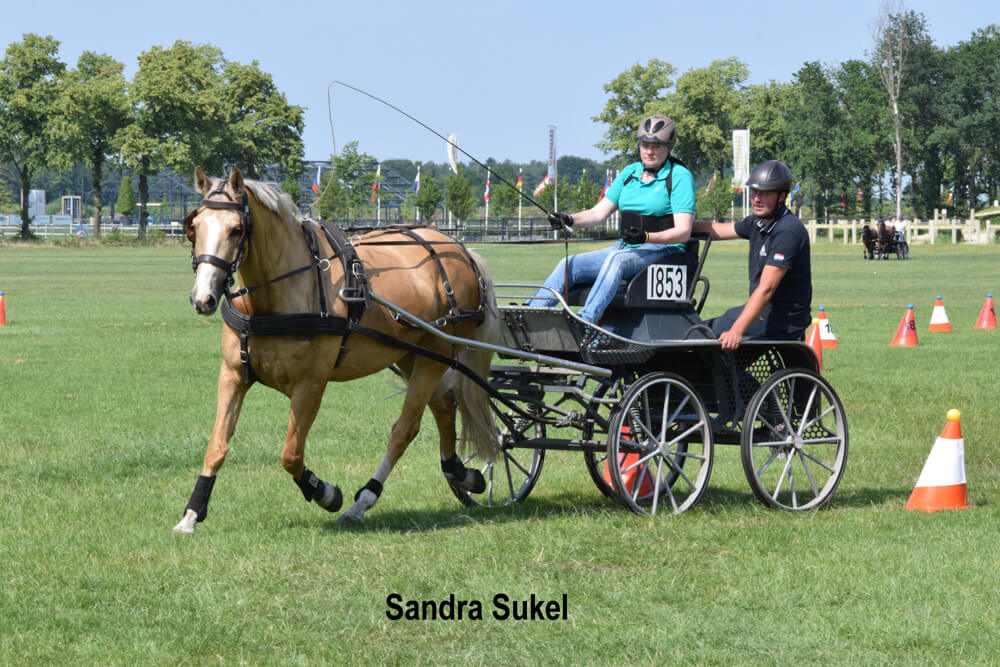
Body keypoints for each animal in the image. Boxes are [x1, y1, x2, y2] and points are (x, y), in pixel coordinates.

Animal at [174, 170, 500, 536]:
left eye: (236, 229)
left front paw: (325, 493)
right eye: (194, 226)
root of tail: (460, 249)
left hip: (435, 354)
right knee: (443, 406)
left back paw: (363, 502)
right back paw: (461, 473)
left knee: (404, 429)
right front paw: (192, 513)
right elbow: (217, 445)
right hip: (410, 354)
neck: (281, 290)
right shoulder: (233, 375)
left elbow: (291, 454)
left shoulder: (310, 386)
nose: (203, 298)